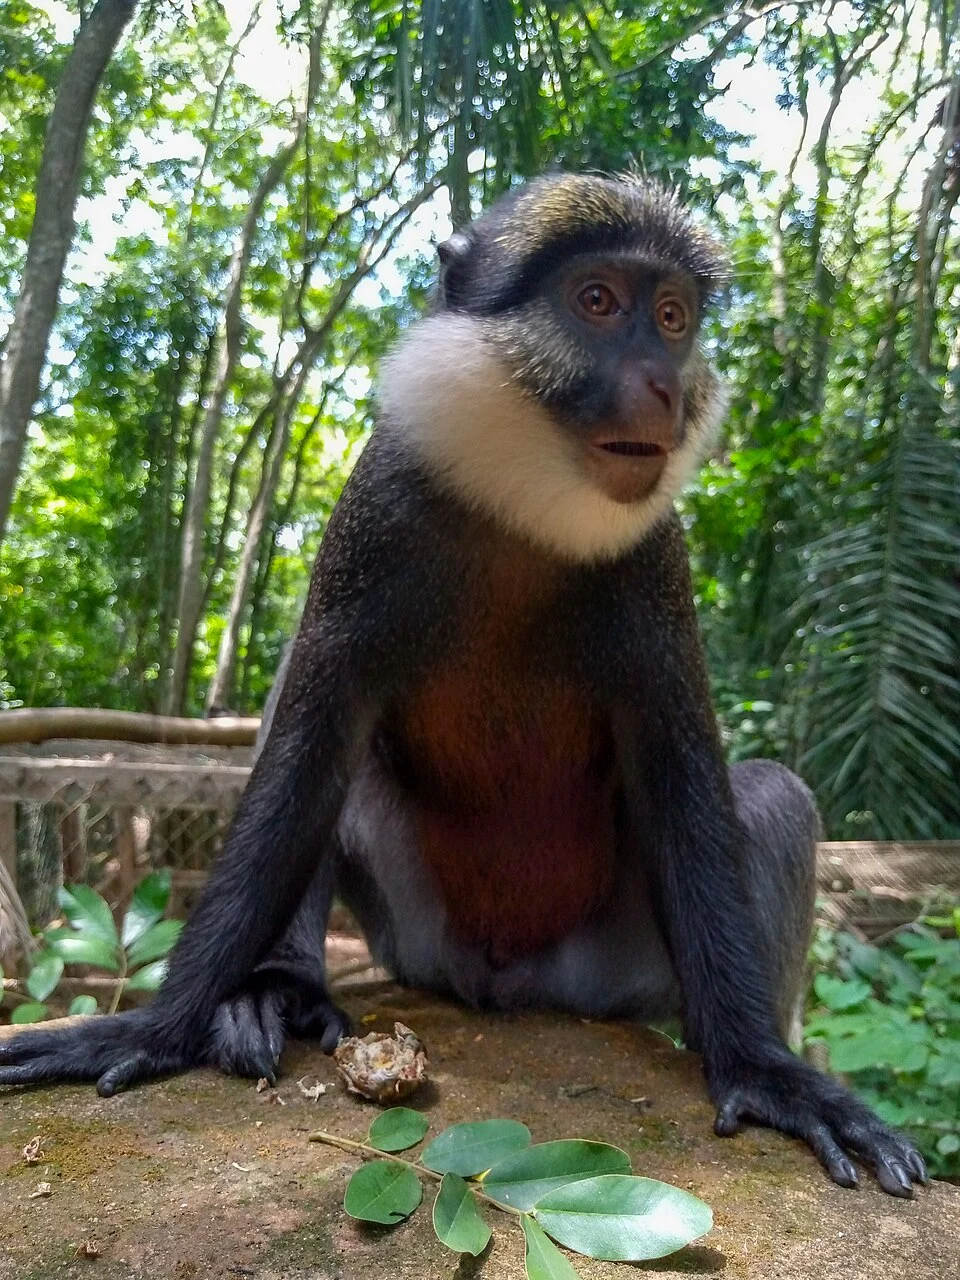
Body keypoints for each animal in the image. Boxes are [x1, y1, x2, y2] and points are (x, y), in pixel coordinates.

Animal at [0, 174, 926, 1198]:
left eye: (674, 318)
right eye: (597, 300)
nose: (666, 385)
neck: (527, 508)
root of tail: (504, 985)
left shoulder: (659, 567)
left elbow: (686, 780)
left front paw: (766, 1072)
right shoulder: (374, 514)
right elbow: (307, 748)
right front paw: (157, 1029)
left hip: (613, 973)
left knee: (773, 794)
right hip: (417, 938)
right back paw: (278, 992)